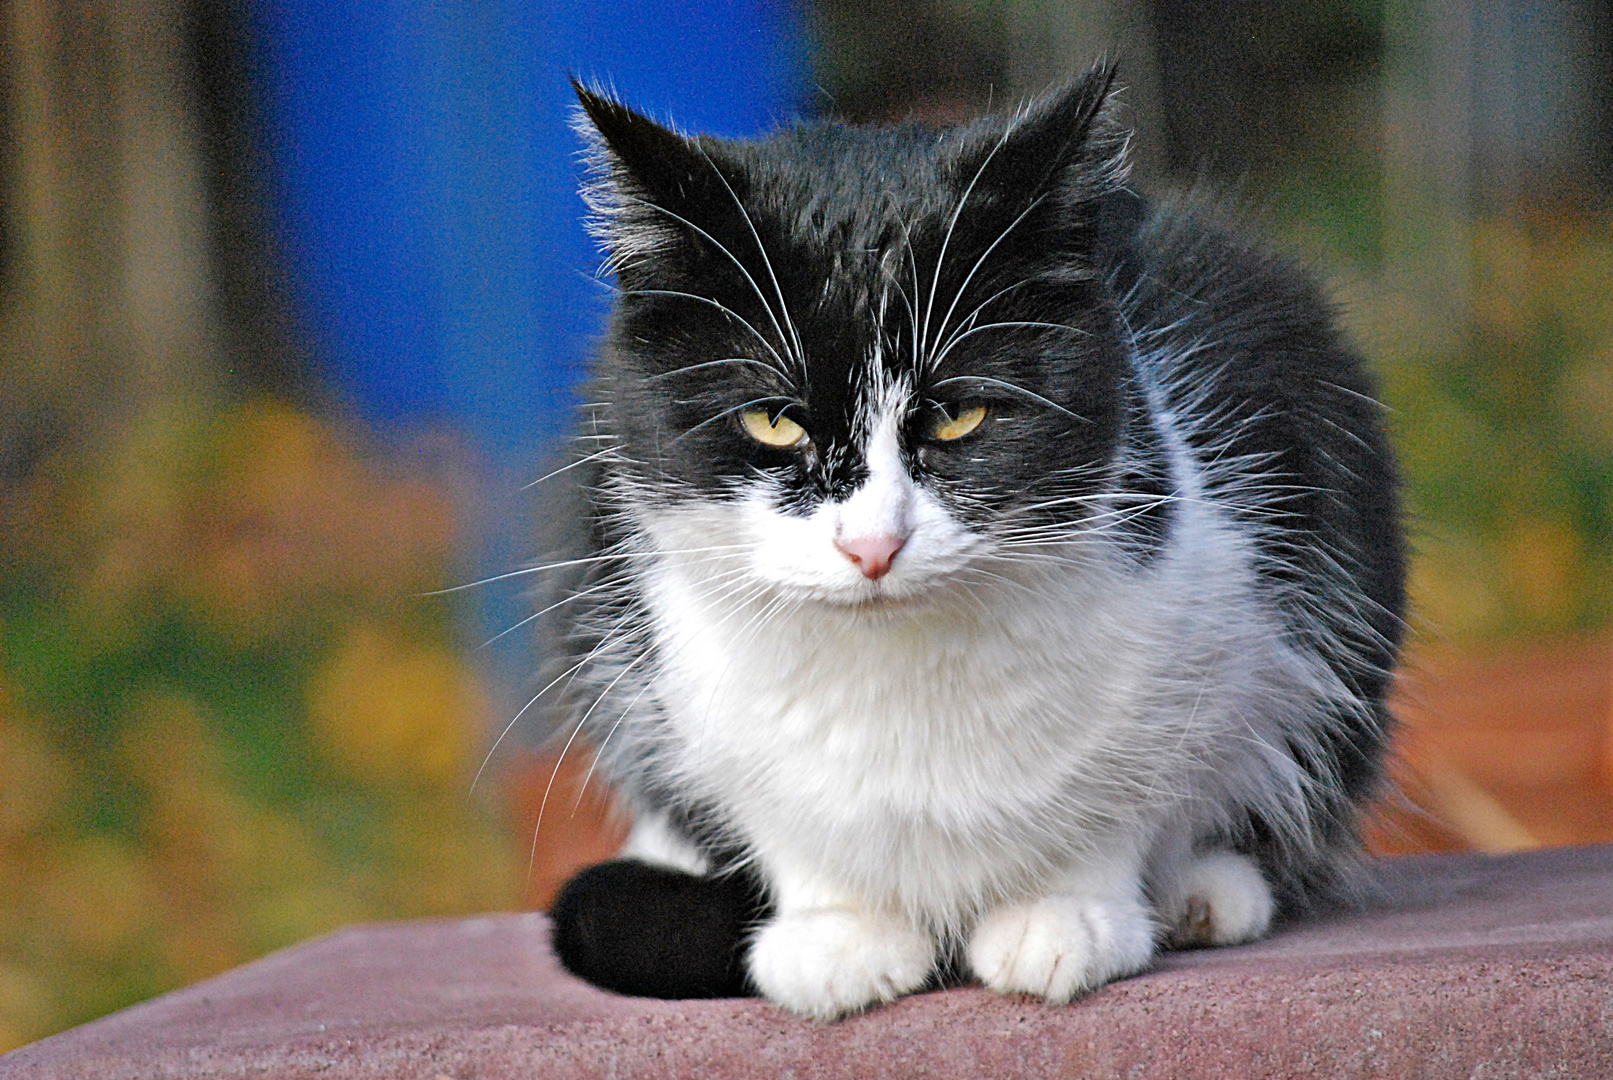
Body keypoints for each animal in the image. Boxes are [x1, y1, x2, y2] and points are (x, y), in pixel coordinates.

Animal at [538, 63, 1400, 1018]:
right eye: (773, 421)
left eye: (958, 416)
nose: (871, 546)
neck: (898, 668)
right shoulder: (679, 668)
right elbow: (772, 804)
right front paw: (837, 933)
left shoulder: (1197, 627)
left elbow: (1124, 792)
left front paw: (1064, 913)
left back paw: (1203, 893)